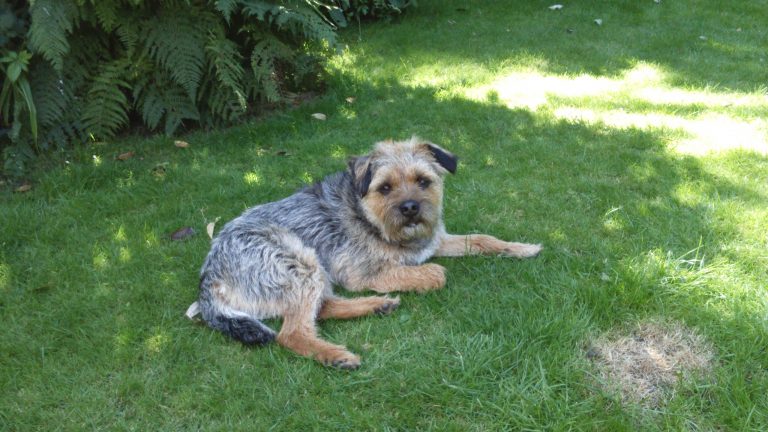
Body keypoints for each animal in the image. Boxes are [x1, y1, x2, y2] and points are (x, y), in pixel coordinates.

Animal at [201, 138, 544, 368]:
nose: (410, 208)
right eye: (385, 188)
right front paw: (428, 275)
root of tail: (208, 285)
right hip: (297, 260)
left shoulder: (434, 240)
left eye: (423, 181)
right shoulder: (362, 272)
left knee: (322, 308)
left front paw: (522, 247)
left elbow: (482, 239)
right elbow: (436, 273)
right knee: (292, 333)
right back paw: (336, 355)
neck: (371, 218)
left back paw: (377, 306)